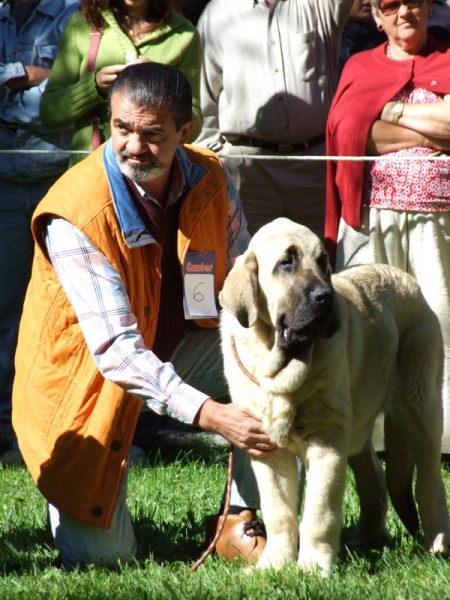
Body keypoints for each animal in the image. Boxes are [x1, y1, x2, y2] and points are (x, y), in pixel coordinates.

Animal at [219, 218, 450, 576]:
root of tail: (405, 278)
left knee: (429, 481)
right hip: (357, 430)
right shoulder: (266, 449)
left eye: (322, 263)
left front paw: (314, 568)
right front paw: (273, 564)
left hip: (421, 408)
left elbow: (319, 513)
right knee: (375, 479)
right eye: (287, 262)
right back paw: (367, 538)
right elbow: (278, 514)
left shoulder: (326, 441)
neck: (279, 373)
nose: (325, 297)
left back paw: (436, 544)